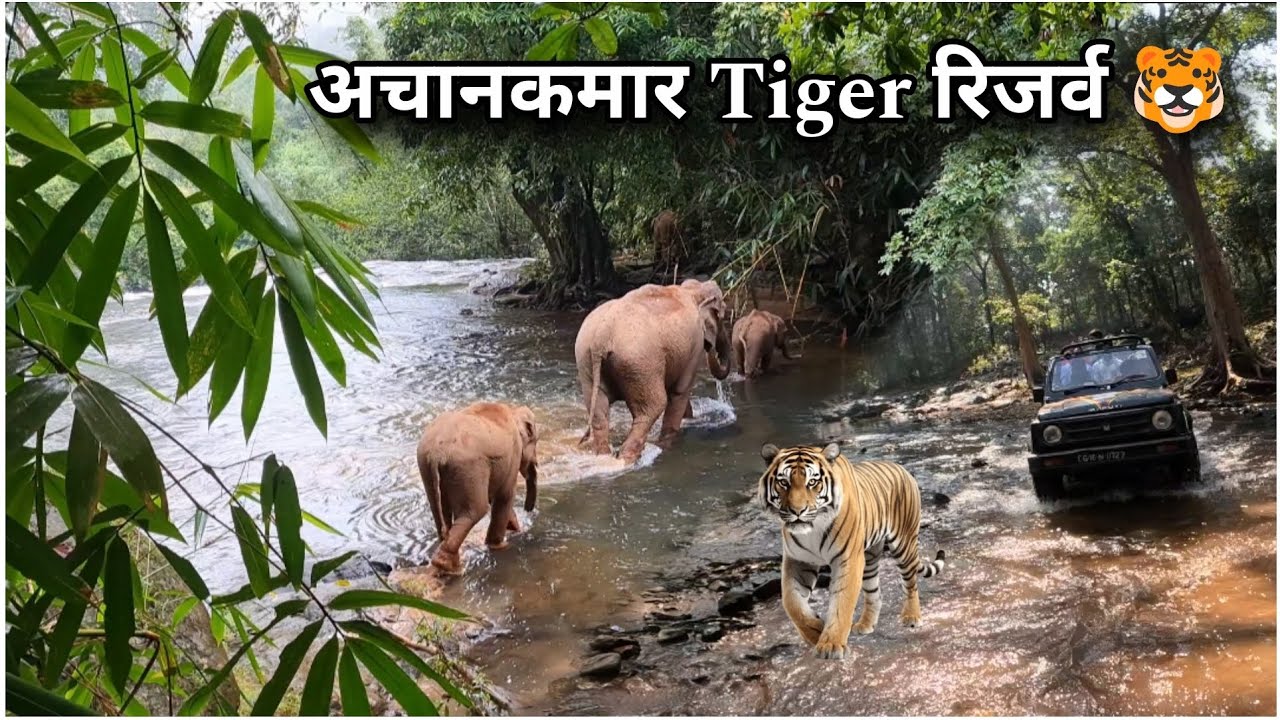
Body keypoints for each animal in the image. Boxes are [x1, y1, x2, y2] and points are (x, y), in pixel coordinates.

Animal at [758, 442, 946, 659]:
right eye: (784, 482)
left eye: (812, 482)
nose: (798, 511)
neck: (813, 529)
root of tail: (902, 469)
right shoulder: (799, 560)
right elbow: (791, 603)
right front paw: (816, 632)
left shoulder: (847, 559)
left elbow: (842, 602)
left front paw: (830, 645)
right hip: (870, 557)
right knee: (874, 593)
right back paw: (865, 625)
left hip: (903, 544)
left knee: (911, 583)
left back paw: (912, 616)